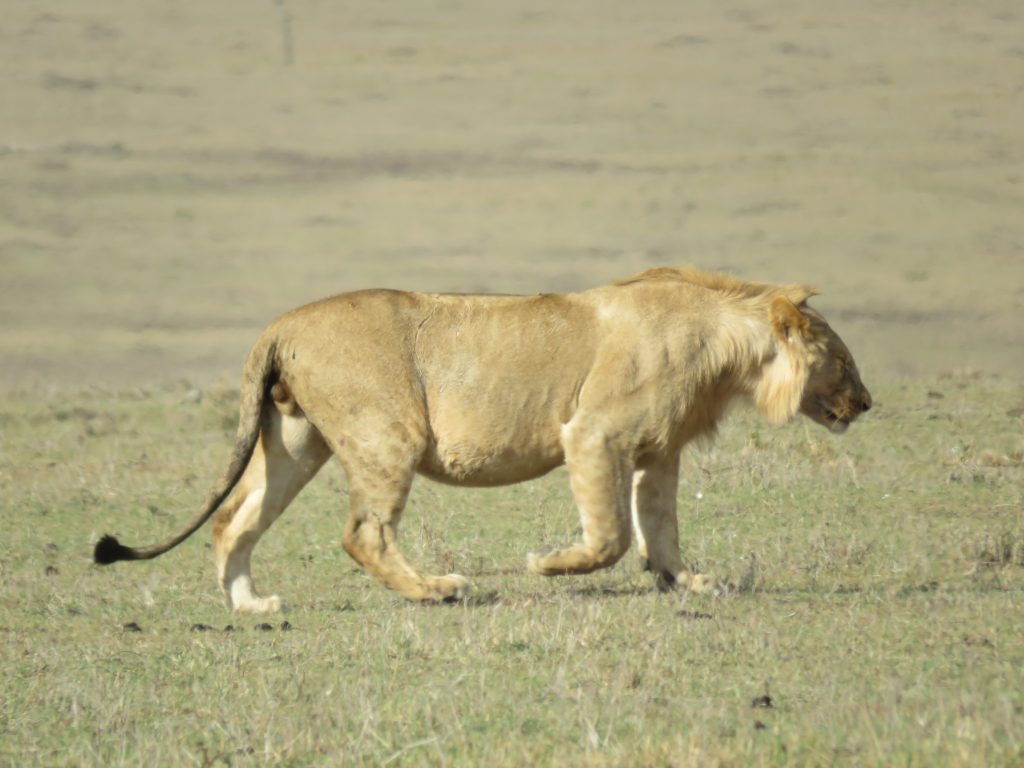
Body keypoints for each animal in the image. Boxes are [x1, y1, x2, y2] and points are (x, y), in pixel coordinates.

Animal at [94, 268, 872, 610]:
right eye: (842, 358)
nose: (866, 403)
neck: (728, 348)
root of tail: (279, 323)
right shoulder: (592, 433)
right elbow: (611, 536)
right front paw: (546, 564)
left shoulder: (658, 452)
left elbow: (662, 529)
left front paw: (690, 582)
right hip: (389, 431)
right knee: (362, 533)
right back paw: (437, 589)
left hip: (295, 440)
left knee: (233, 519)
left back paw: (250, 606)